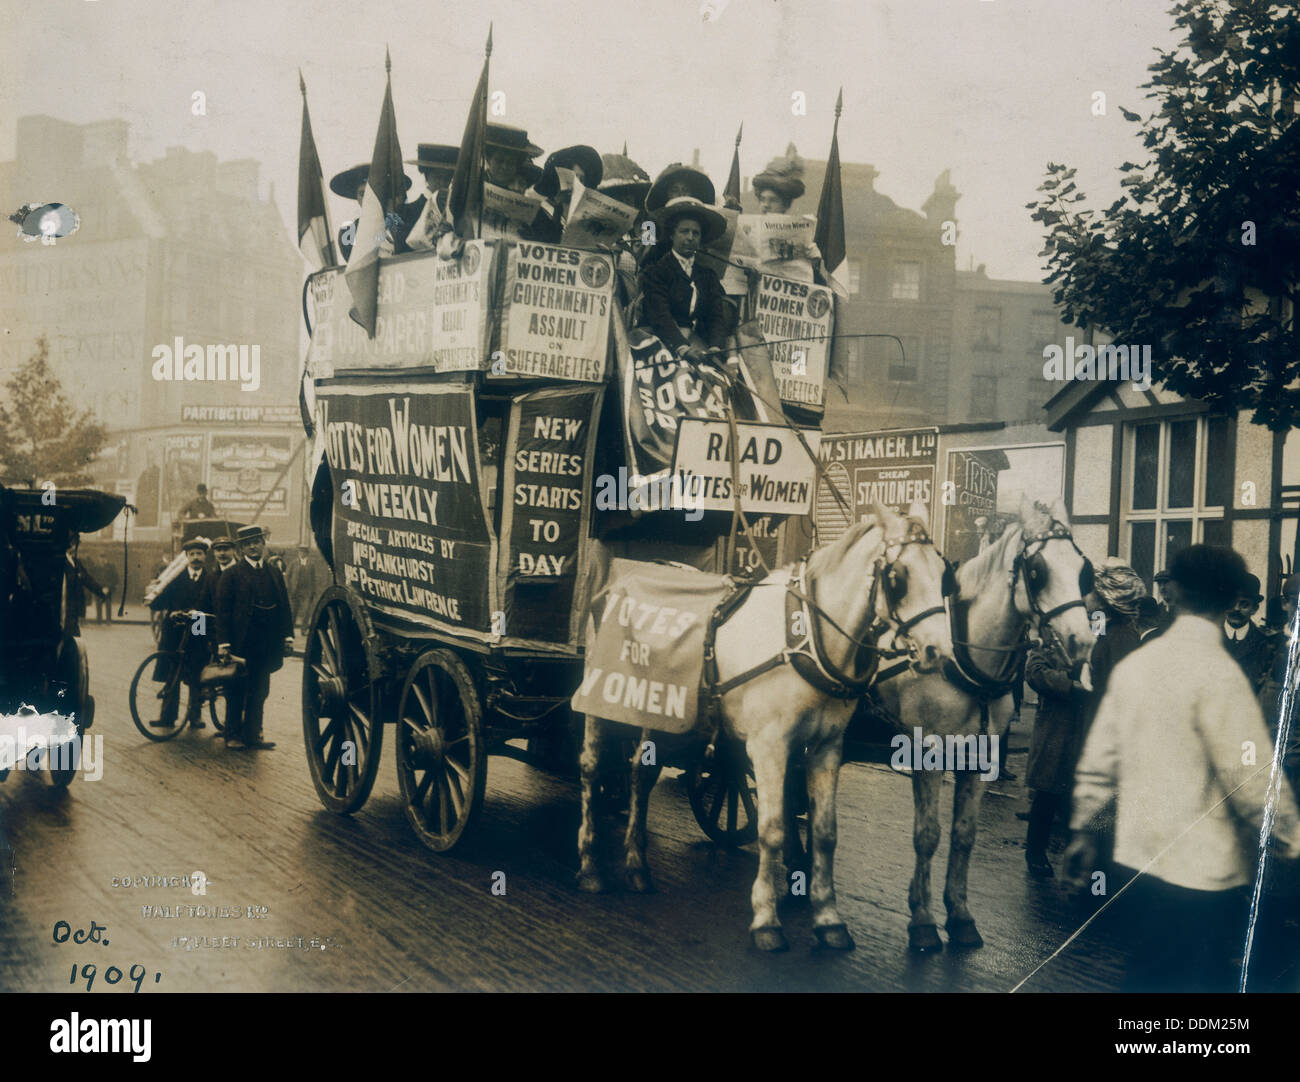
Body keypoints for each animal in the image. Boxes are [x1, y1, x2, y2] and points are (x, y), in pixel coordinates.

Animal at [579, 501, 956, 951]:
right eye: (898, 577)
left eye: (944, 574)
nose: (938, 651)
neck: (804, 637)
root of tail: (619, 578)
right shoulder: (770, 746)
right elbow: (772, 829)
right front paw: (766, 919)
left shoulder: (827, 748)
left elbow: (825, 833)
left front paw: (828, 918)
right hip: (602, 695)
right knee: (592, 769)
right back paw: (591, 865)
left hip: (660, 708)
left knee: (641, 773)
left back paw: (637, 865)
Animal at [873, 494, 1097, 951]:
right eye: (1036, 570)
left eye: (1084, 569)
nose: (1082, 641)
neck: (964, 656)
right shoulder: (926, 754)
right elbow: (927, 835)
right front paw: (923, 921)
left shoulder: (978, 757)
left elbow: (963, 835)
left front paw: (959, 916)